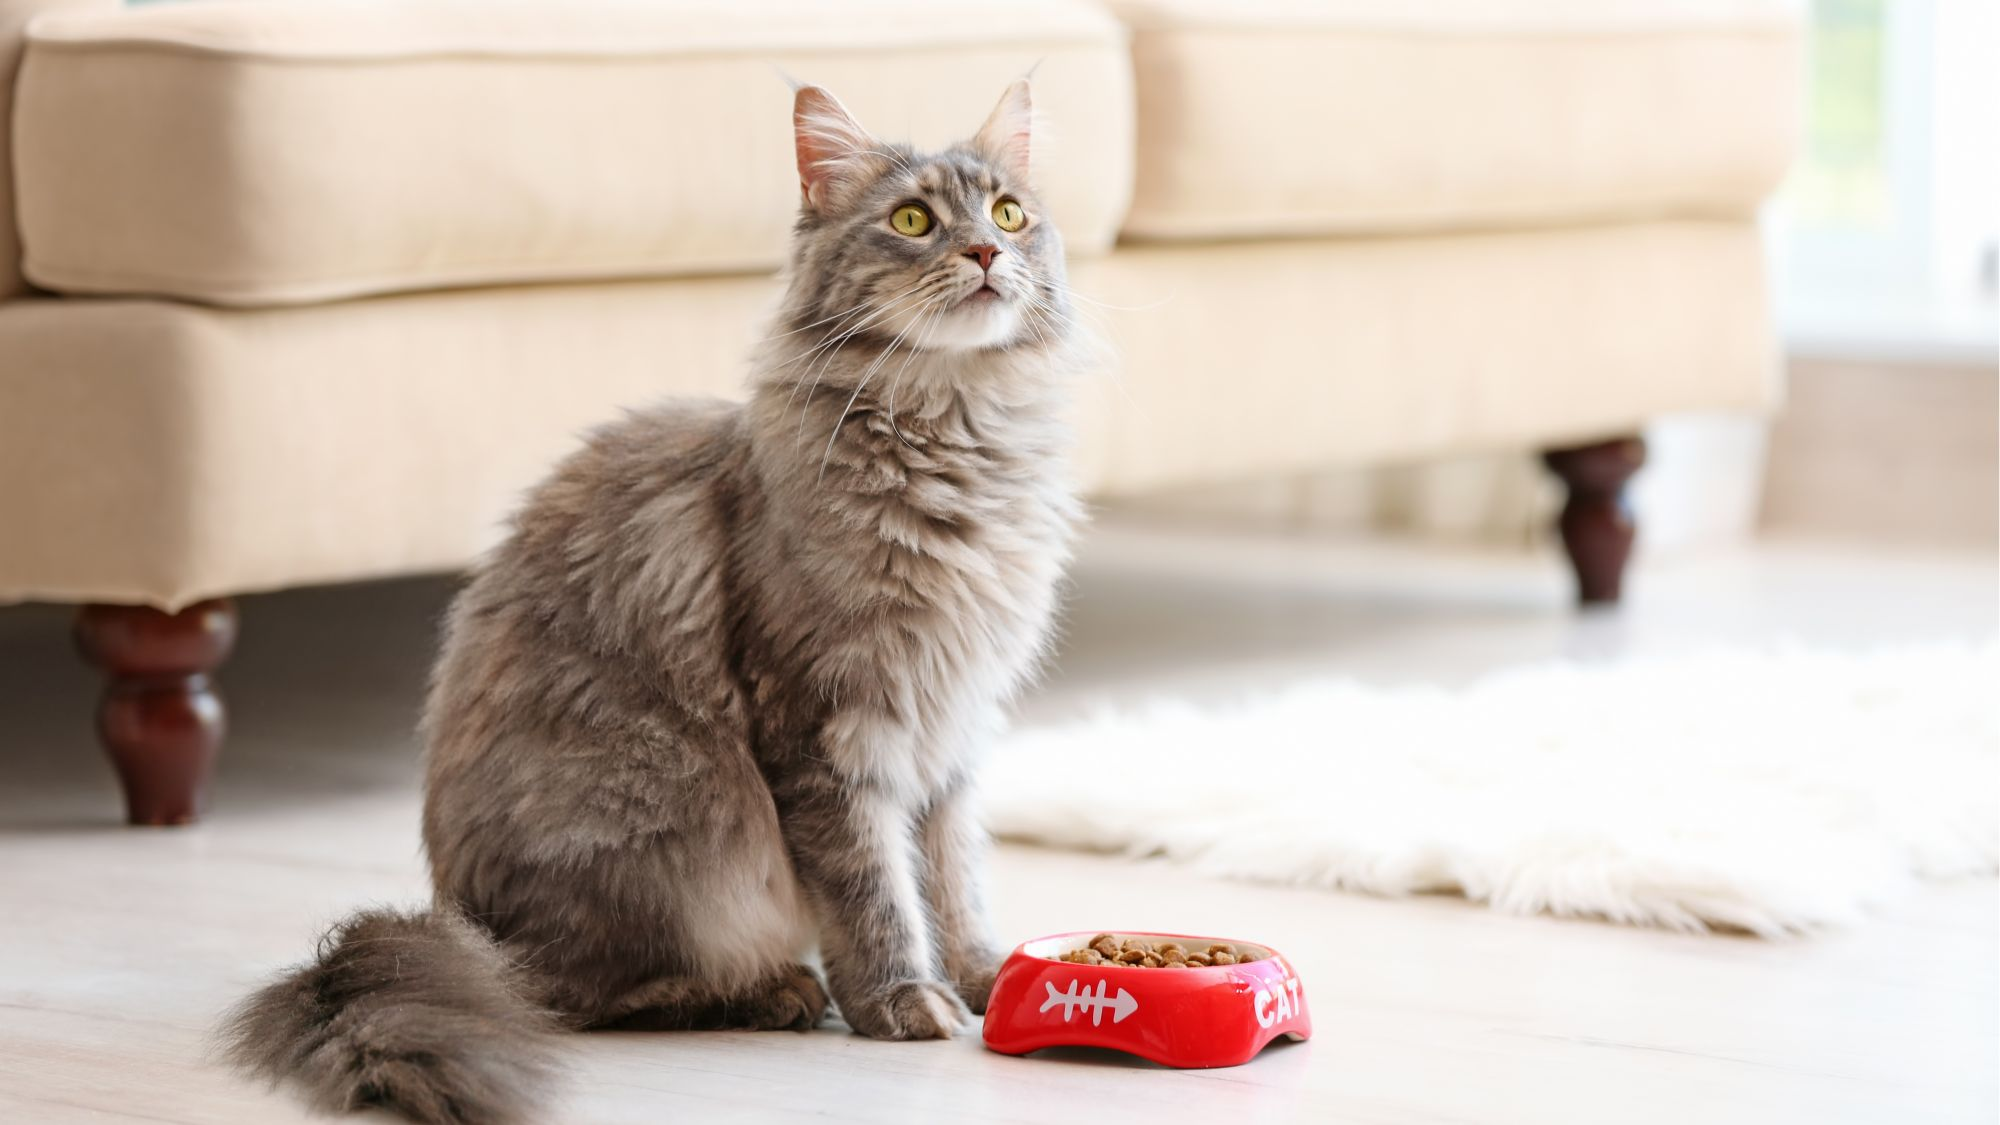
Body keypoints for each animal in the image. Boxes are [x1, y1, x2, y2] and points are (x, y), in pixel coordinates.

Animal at [223, 81, 1080, 1120]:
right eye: (913, 221)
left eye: (1009, 214)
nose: (987, 253)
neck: (958, 435)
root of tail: (453, 921)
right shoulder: (828, 728)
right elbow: (876, 886)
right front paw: (904, 1000)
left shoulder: (952, 729)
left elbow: (954, 878)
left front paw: (987, 976)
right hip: (680, 822)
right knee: (565, 995)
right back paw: (769, 992)